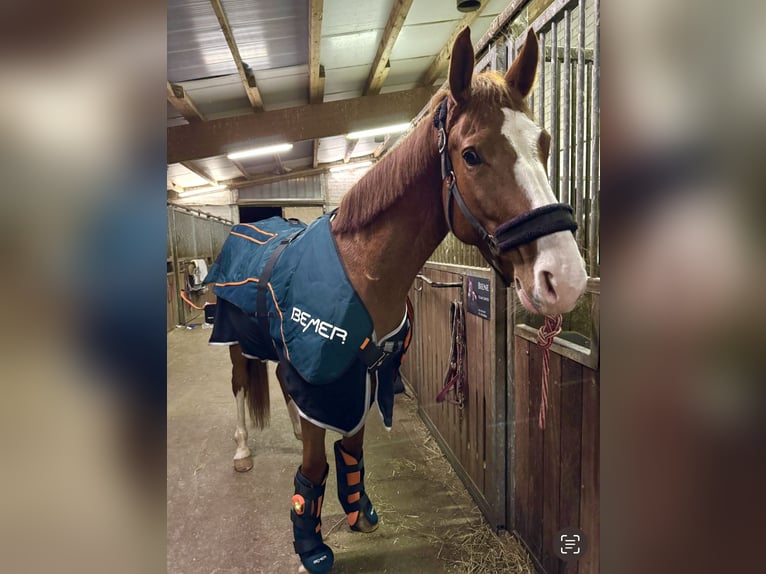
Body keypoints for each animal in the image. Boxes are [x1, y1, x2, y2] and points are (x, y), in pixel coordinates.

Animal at [204, 28, 588, 574]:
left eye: (545, 144)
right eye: (471, 155)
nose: (566, 277)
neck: (362, 269)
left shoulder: (360, 376)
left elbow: (351, 445)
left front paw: (358, 508)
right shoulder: (327, 376)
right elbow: (315, 465)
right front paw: (310, 547)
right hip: (237, 341)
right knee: (240, 385)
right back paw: (242, 452)